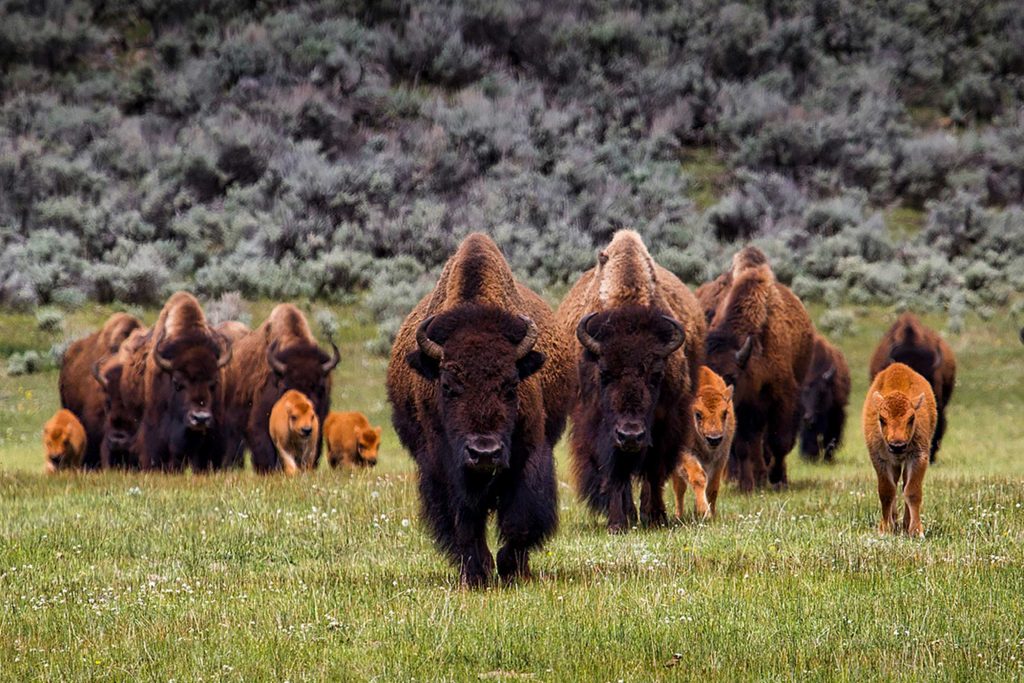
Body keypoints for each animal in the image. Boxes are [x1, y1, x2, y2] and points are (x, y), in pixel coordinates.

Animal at [386, 233, 572, 586]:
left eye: (511, 385)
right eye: (447, 386)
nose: (484, 453)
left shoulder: (529, 453)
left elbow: (520, 519)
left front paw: (512, 569)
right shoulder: (443, 465)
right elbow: (464, 521)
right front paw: (477, 573)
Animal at [557, 230, 705, 532]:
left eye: (656, 374)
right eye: (604, 373)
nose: (631, 435)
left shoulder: (666, 423)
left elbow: (654, 470)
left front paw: (657, 516)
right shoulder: (597, 427)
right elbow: (615, 473)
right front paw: (617, 522)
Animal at [704, 247, 814, 491]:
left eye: (731, 376)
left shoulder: (782, 398)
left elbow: (780, 442)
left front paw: (778, 479)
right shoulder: (742, 411)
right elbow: (743, 447)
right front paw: (747, 485)